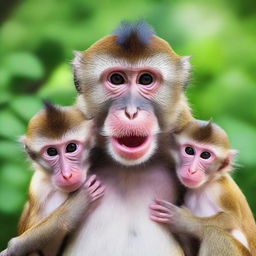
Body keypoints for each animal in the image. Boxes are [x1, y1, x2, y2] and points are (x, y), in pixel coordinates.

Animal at [150, 120, 256, 256]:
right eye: (189, 150)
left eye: (205, 155)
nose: (192, 170)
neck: (204, 186)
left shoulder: (222, 190)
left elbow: (232, 218)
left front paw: (183, 221)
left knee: (214, 235)